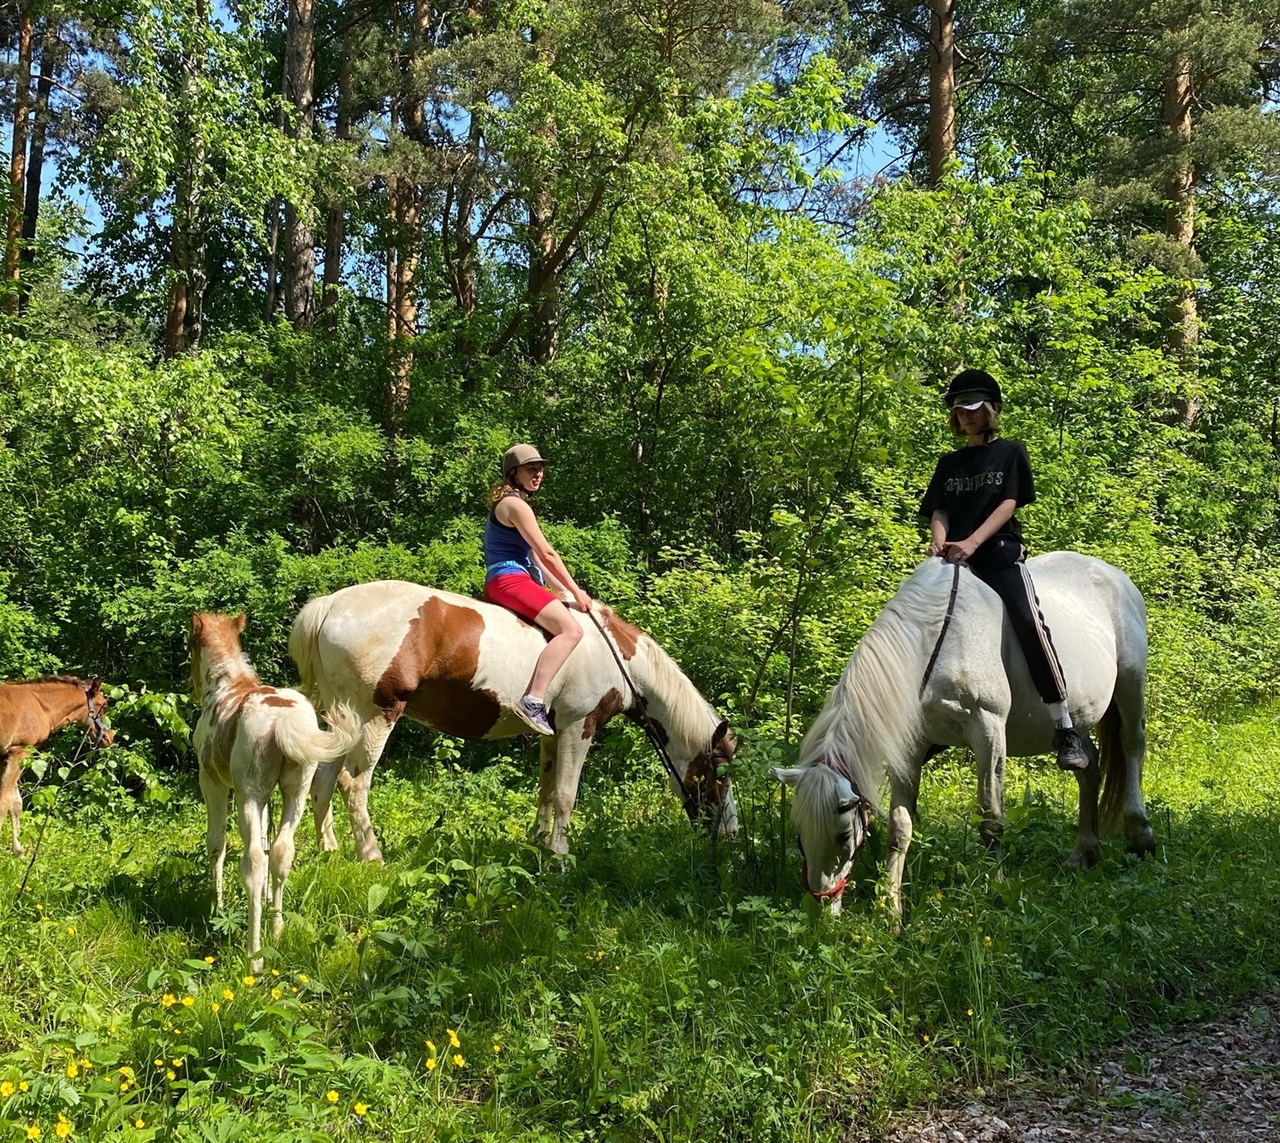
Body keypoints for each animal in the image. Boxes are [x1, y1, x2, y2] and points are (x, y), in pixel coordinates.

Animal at [0, 675, 113, 849]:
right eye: (103, 704)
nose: (110, 737)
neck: (39, 705)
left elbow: (16, 803)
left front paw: (19, 850)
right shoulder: (20, 752)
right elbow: (5, 802)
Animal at [189, 611, 363, 967]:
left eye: (189, 646)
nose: (192, 688)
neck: (226, 684)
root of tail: (282, 721)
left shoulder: (211, 781)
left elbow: (216, 843)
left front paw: (217, 907)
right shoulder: (268, 796)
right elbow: (270, 844)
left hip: (248, 793)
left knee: (254, 860)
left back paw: (254, 955)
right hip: (295, 789)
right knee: (282, 851)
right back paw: (278, 930)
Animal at [284, 583, 737, 860]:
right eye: (720, 773)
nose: (730, 834)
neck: (613, 655)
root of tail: (330, 605)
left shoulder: (553, 733)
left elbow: (547, 790)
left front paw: (537, 844)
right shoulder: (579, 727)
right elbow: (567, 795)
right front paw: (559, 855)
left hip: (340, 719)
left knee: (324, 780)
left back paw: (330, 849)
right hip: (376, 714)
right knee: (353, 783)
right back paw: (372, 856)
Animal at [768, 552, 1162, 916]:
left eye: (843, 835)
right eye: (800, 834)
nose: (821, 907)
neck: (933, 644)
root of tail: (1113, 574)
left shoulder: (988, 729)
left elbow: (990, 816)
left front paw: (997, 890)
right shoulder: (910, 747)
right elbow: (900, 826)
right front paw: (891, 909)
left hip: (1131, 684)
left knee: (1132, 746)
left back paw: (1140, 835)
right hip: (1078, 720)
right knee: (1089, 767)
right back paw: (1083, 853)